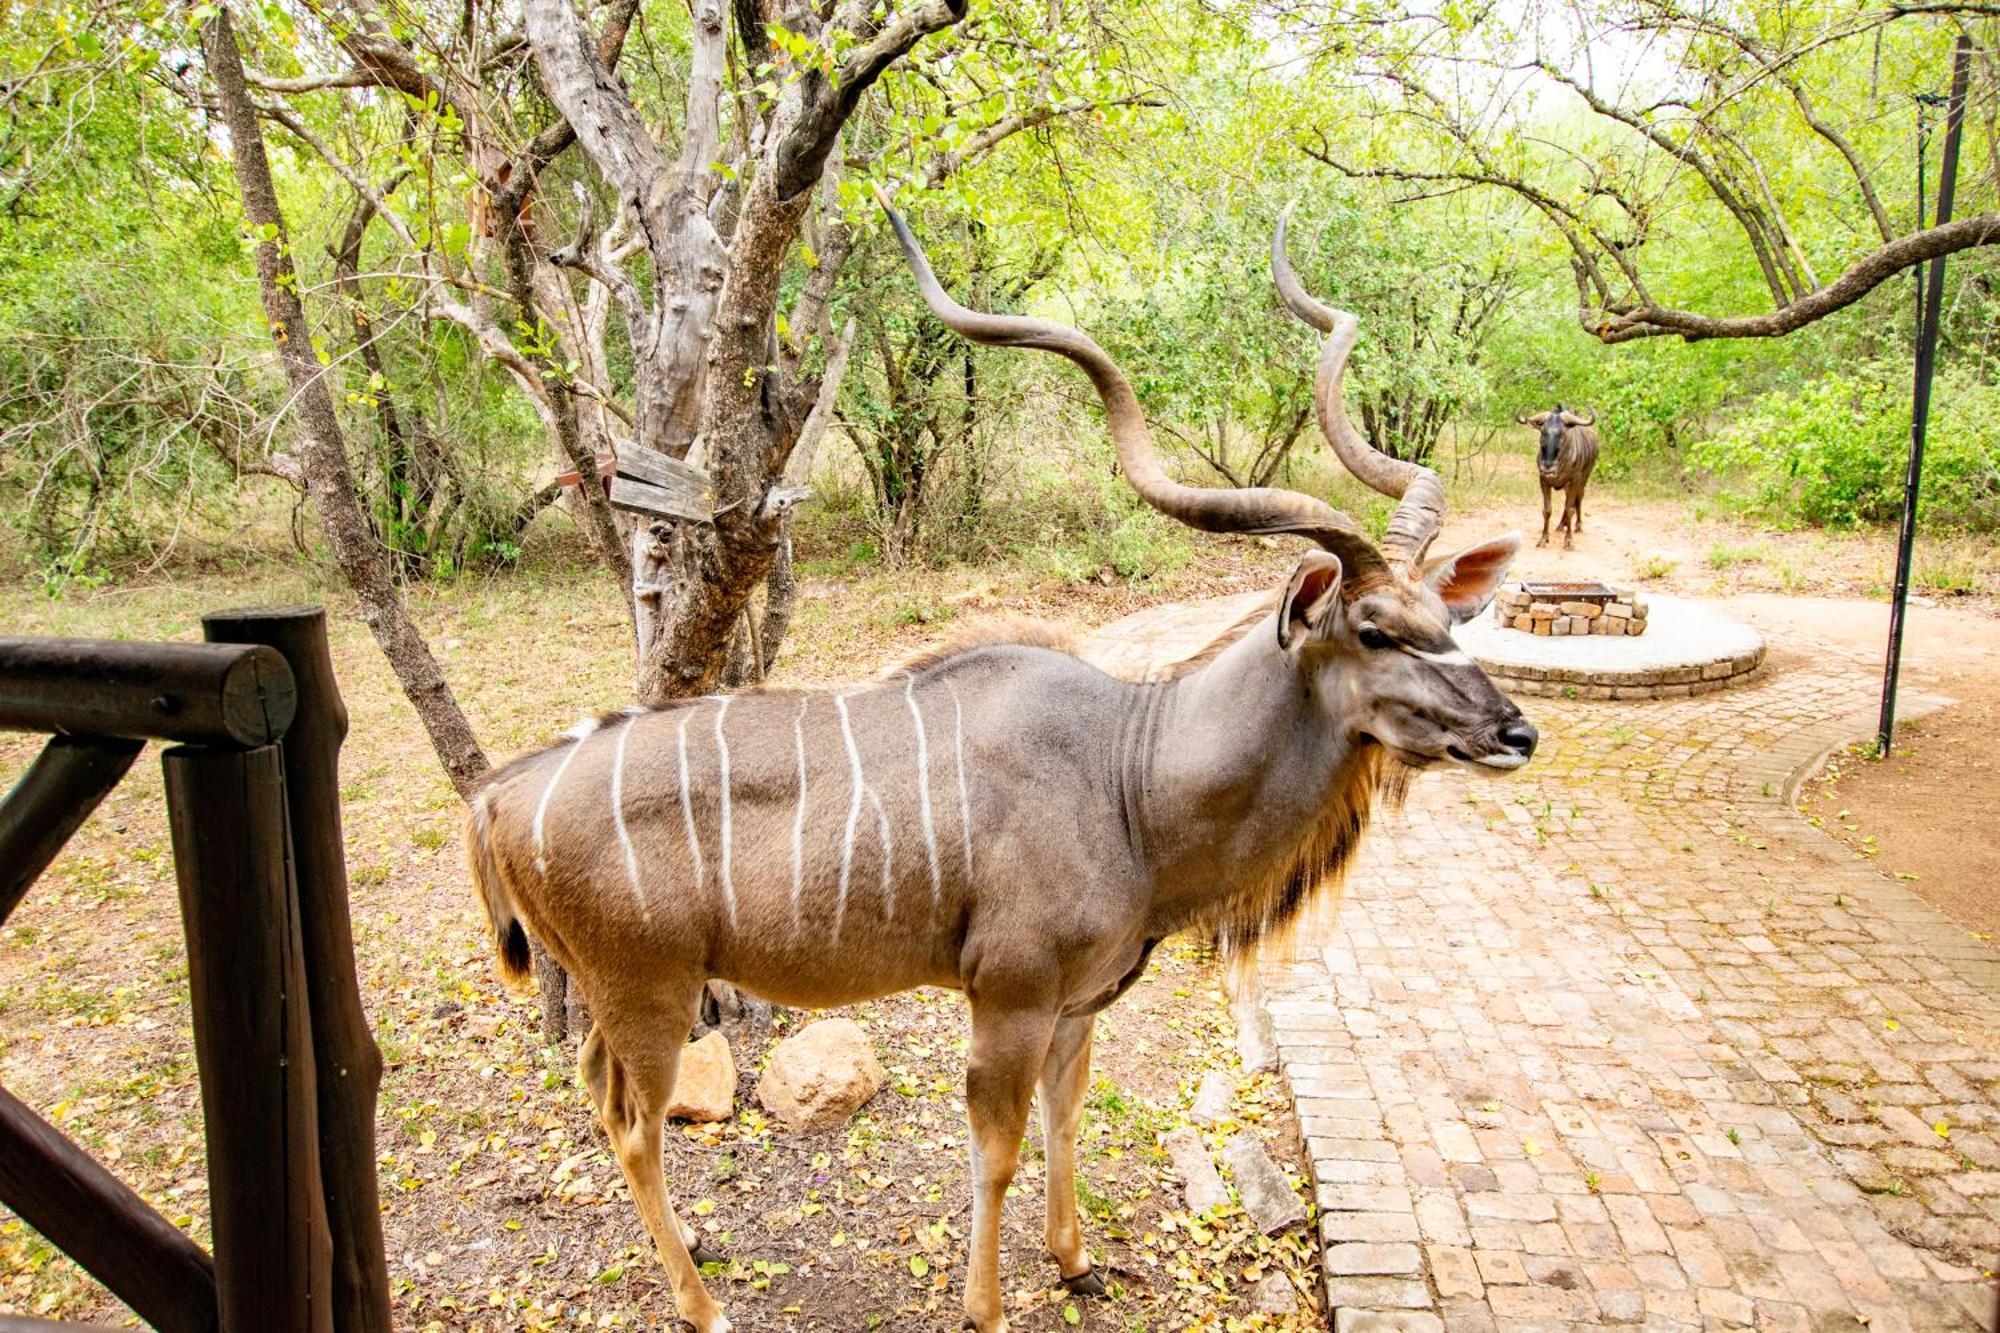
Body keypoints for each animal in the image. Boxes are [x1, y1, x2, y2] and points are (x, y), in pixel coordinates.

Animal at [468, 197, 1544, 1328]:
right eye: (1376, 630)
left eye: (1450, 619)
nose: (1514, 733)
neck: (1128, 780)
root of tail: (497, 797)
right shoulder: (1010, 998)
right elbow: (995, 1148)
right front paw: (987, 1305)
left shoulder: (1078, 1004)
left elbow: (1068, 1117)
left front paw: (1076, 1261)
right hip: (651, 992)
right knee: (636, 1124)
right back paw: (706, 1305)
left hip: (616, 999)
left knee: (601, 1099)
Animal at [1520, 404, 1600, 548]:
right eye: (1543, 432)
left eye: (1562, 433)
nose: (1547, 467)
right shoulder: (1543, 480)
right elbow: (1547, 510)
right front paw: (1543, 539)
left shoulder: (1575, 481)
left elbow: (1570, 509)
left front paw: (1568, 540)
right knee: (1568, 501)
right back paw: (1561, 525)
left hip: (1584, 479)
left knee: (1578, 500)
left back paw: (1578, 525)